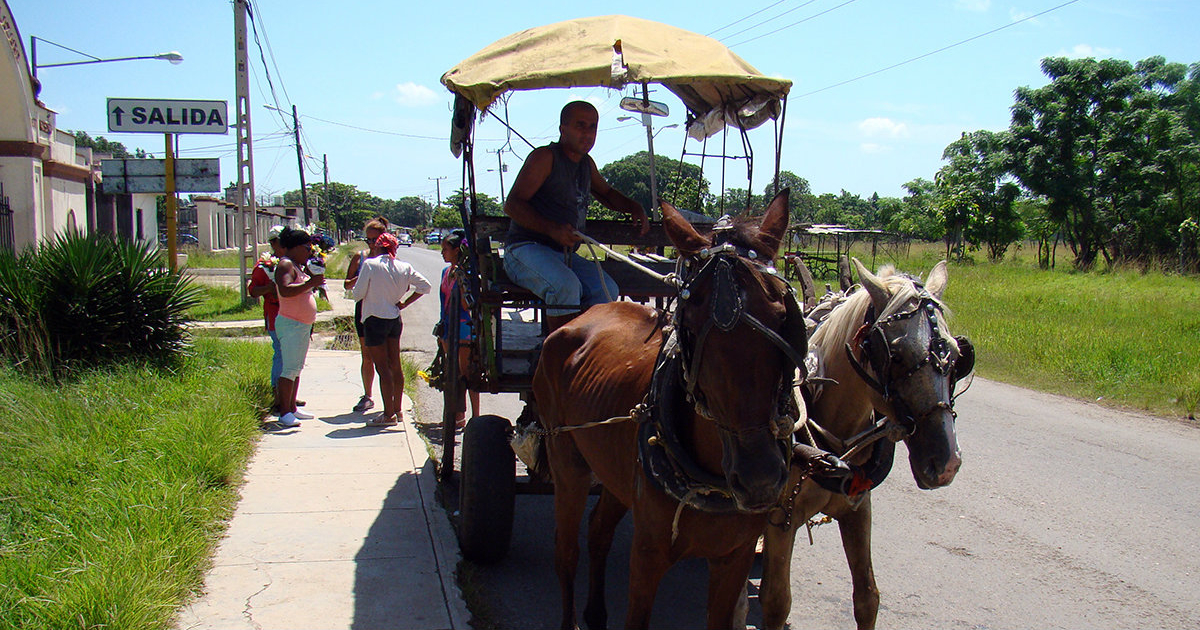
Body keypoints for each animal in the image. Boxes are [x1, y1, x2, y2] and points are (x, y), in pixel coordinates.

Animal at [540, 192, 811, 628]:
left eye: (784, 316)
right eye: (692, 323)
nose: (760, 478)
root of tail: (589, 312)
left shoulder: (734, 557)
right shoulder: (647, 556)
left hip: (613, 470)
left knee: (598, 531)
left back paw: (596, 613)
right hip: (565, 459)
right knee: (566, 551)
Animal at [763, 256, 969, 628]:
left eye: (959, 354)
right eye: (895, 354)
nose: (947, 464)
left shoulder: (858, 509)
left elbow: (867, 597)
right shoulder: (780, 518)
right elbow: (776, 601)